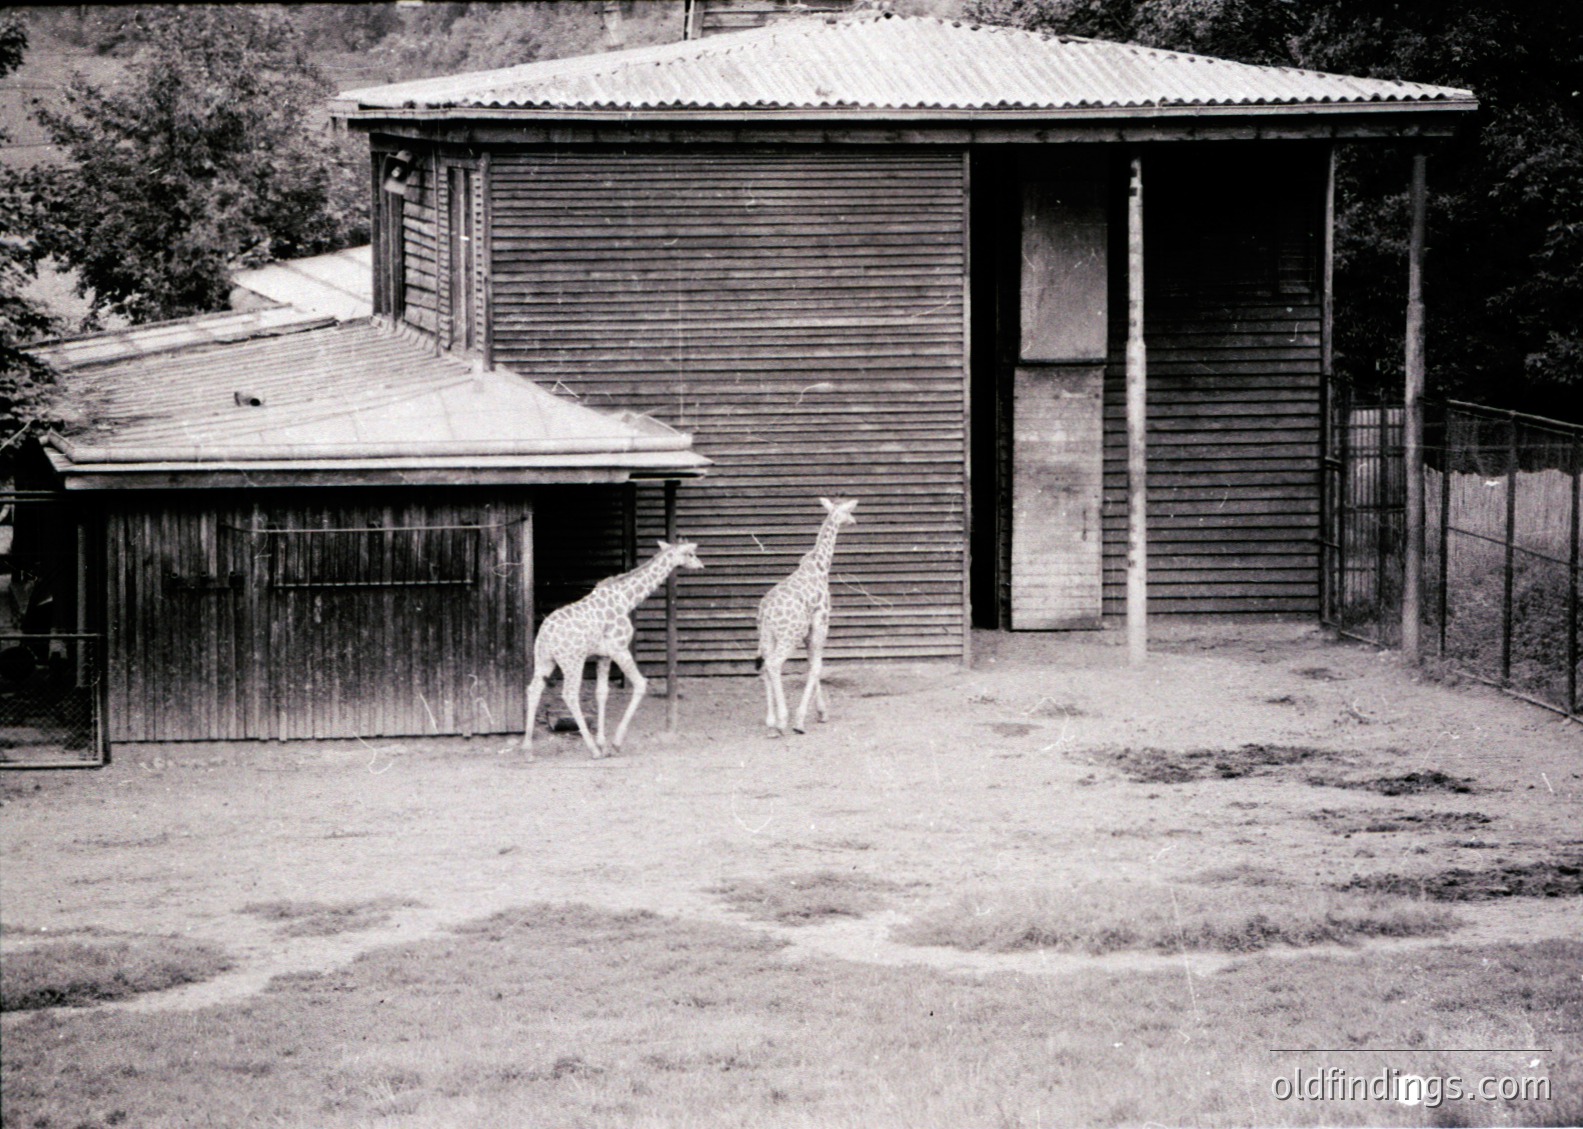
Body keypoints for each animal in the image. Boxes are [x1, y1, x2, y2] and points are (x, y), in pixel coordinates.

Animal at [523, 539, 703, 758]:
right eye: (691, 554)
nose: (701, 565)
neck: (626, 599)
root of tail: (546, 634)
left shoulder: (604, 655)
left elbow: (602, 692)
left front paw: (603, 743)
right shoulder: (619, 648)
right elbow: (640, 683)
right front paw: (614, 744)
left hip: (544, 659)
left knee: (534, 689)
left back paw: (528, 749)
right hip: (572, 660)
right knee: (569, 693)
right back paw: (592, 749)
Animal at [755, 497, 858, 736]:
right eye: (849, 511)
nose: (854, 520)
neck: (821, 565)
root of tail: (766, 612)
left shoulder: (808, 631)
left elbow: (811, 664)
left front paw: (821, 713)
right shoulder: (821, 622)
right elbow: (817, 666)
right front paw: (800, 721)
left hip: (767, 636)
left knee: (764, 665)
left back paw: (770, 722)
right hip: (788, 636)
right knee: (774, 664)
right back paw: (782, 721)